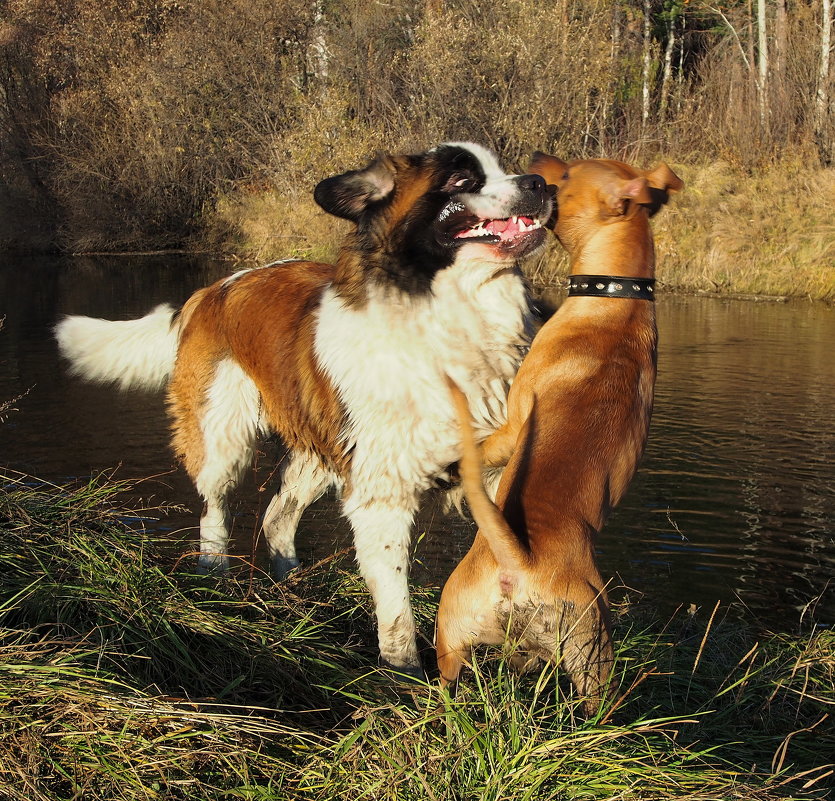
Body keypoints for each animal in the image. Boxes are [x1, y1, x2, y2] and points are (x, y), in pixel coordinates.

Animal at [58, 142, 556, 676]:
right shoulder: (382, 492)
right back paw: (215, 581)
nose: (541, 183)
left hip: (321, 447)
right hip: (222, 438)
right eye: (463, 180)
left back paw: (296, 593)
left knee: (277, 516)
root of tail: (211, 291)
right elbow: (396, 609)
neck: (450, 315)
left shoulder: (494, 472)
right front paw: (405, 674)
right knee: (215, 512)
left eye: (503, 168)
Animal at [434, 153, 684, 708]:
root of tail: (521, 563)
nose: (538, 169)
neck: (620, 300)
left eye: (567, 177)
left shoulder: (512, 423)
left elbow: (484, 447)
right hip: (503, 650)